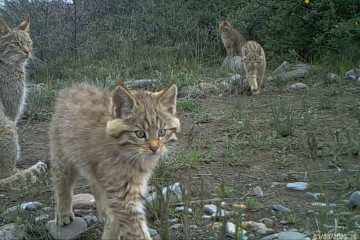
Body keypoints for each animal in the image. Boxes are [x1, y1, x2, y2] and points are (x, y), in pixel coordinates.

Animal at [0, 16, 47, 189]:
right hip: (8, 128)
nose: (28, 52)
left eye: (29, 42)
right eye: (16, 43)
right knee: (5, 175)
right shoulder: (11, 111)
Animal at [50, 83, 180, 239]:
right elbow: (137, 231)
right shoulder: (123, 197)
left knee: (95, 184)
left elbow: (117, 221)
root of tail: (74, 86)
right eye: (140, 134)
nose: (155, 148)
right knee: (61, 183)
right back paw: (63, 213)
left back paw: (103, 212)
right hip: (63, 156)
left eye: (162, 132)